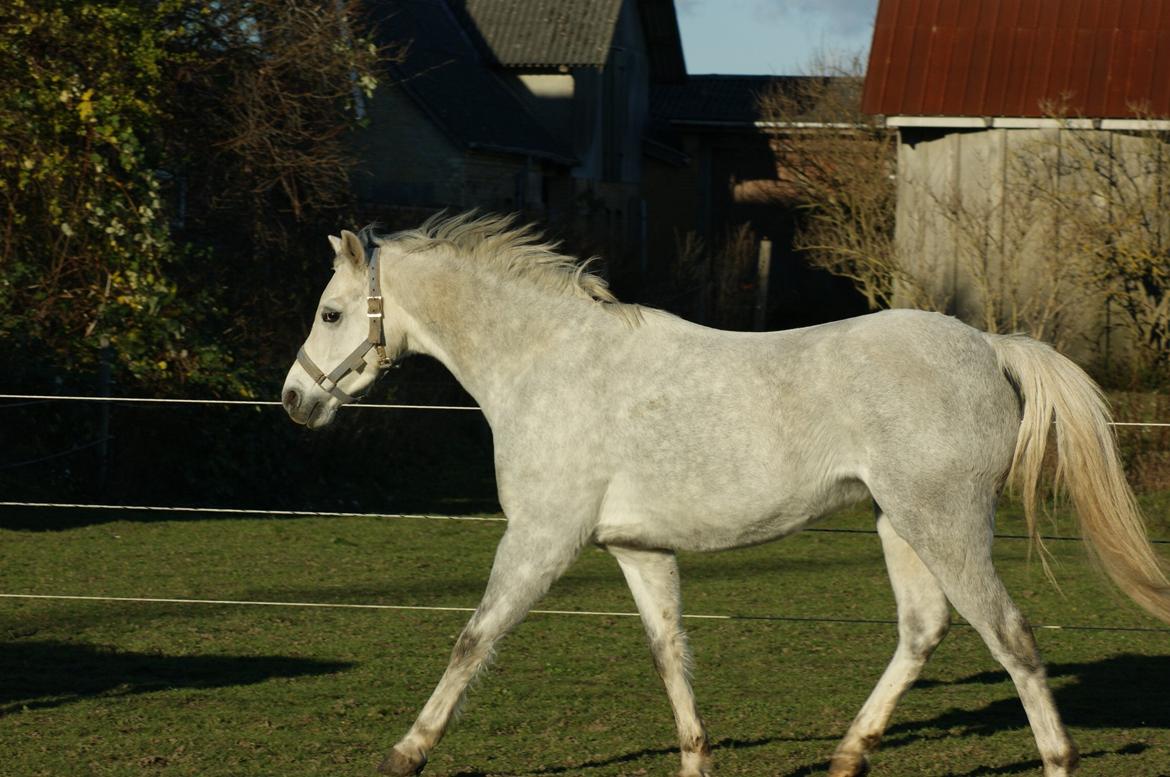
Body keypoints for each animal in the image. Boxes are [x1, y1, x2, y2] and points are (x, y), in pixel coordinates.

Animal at [278, 212, 1165, 777]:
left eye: (330, 312)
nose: (294, 400)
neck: (550, 362)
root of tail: (987, 343)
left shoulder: (541, 537)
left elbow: (473, 638)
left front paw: (406, 752)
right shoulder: (635, 547)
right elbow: (669, 651)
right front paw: (695, 758)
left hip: (945, 523)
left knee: (1009, 636)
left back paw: (1055, 759)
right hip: (899, 523)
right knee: (923, 629)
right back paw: (848, 754)